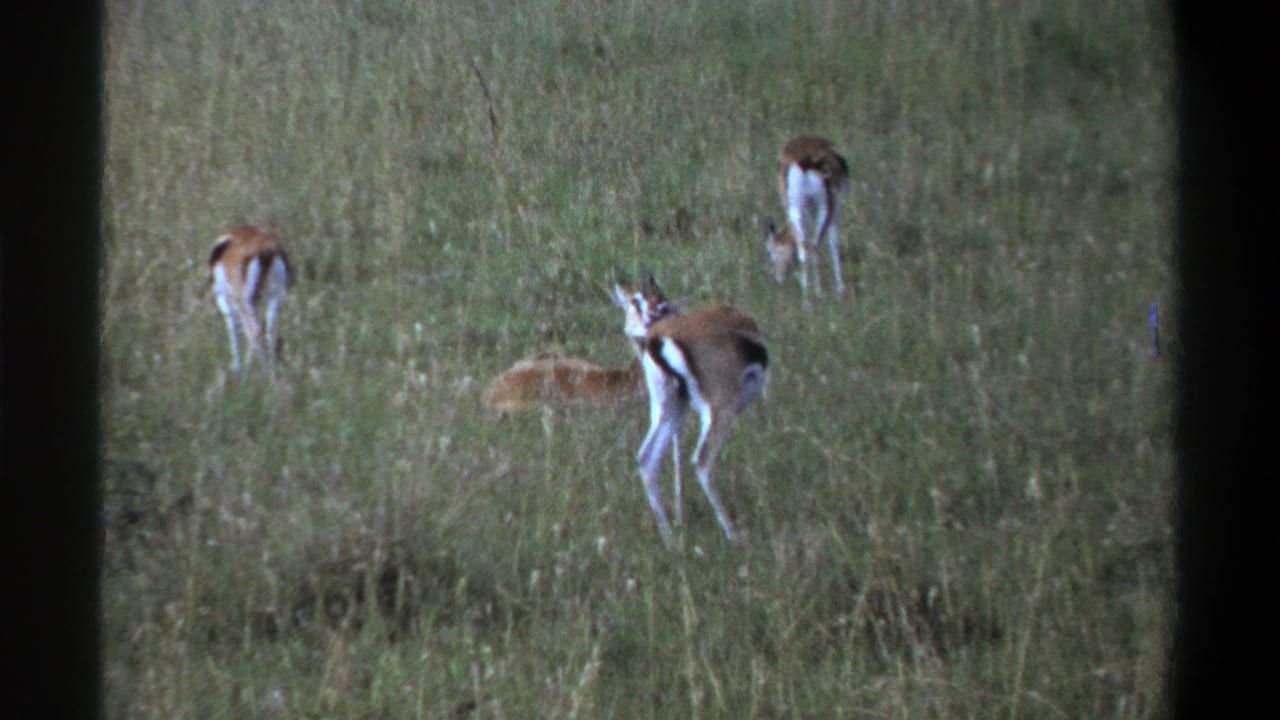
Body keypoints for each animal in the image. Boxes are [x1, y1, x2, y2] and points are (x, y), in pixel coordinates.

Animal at [207, 224, 290, 376]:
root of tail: (266, 250)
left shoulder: (224, 301)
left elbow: (232, 329)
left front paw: (237, 369)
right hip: (274, 297)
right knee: (270, 333)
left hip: (243, 301)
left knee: (254, 333)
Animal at [613, 274, 768, 544]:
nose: (636, 332)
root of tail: (659, 340)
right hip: (718, 409)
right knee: (702, 460)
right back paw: (734, 535)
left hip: (668, 409)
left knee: (646, 458)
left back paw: (670, 539)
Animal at [766, 136, 850, 297]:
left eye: (769, 252)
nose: (776, 280)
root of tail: (803, 161)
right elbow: (833, 243)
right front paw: (840, 289)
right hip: (823, 208)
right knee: (814, 246)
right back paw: (817, 293)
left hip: (800, 209)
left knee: (806, 248)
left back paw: (809, 297)